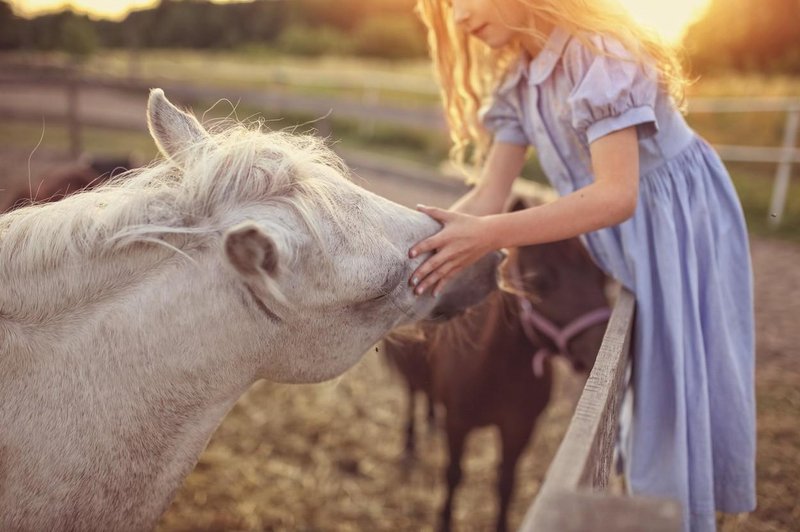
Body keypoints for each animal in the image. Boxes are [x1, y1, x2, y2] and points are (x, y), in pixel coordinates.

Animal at [384, 198, 608, 532]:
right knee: (413, 395)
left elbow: (506, 483)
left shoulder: (518, 430)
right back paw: (411, 445)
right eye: (540, 280)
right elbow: (454, 474)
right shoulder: (459, 424)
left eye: (602, 280)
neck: (497, 372)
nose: (599, 346)